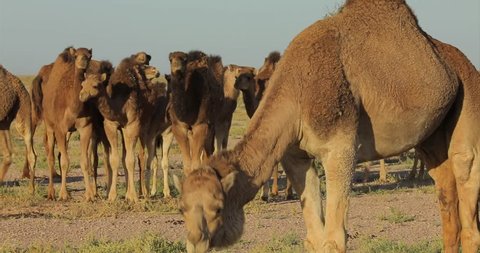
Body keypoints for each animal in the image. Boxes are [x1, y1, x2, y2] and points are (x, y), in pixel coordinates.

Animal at [178, 0, 478, 252]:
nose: (195, 242)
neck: (297, 90)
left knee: (465, 175)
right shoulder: (295, 156)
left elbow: (334, 238)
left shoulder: (340, 148)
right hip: (431, 137)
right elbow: (314, 237)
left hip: (468, 96)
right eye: (182, 209)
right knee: (446, 194)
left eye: (217, 208)